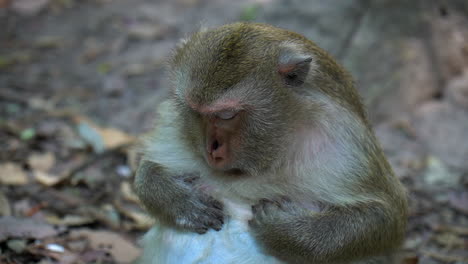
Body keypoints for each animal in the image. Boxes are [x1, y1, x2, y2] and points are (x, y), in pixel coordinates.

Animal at [133, 22, 408, 264]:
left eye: (226, 115)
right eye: (196, 111)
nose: (212, 147)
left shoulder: (342, 144)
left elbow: (385, 216)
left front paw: (284, 232)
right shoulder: (175, 122)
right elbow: (148, 168)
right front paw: (178, 200)